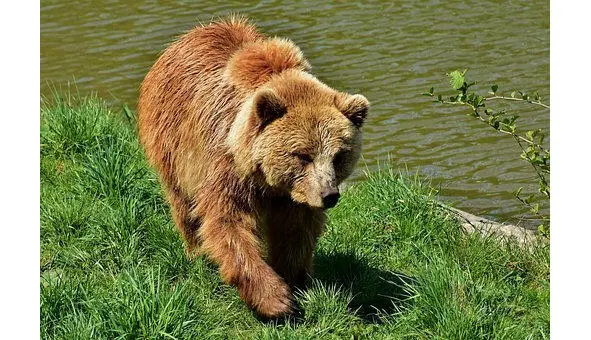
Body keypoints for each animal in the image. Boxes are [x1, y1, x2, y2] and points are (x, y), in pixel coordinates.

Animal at [138, 15, 370, 318]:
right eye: (302, 155)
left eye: (339, 155)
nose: (329, 195)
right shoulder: (225, 167)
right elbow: (227, 223)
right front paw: (275, 301)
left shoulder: (296, 196)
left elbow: (295, 231)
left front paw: (294, 279)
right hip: (171, 142)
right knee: (183, 204)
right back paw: (195, 252)